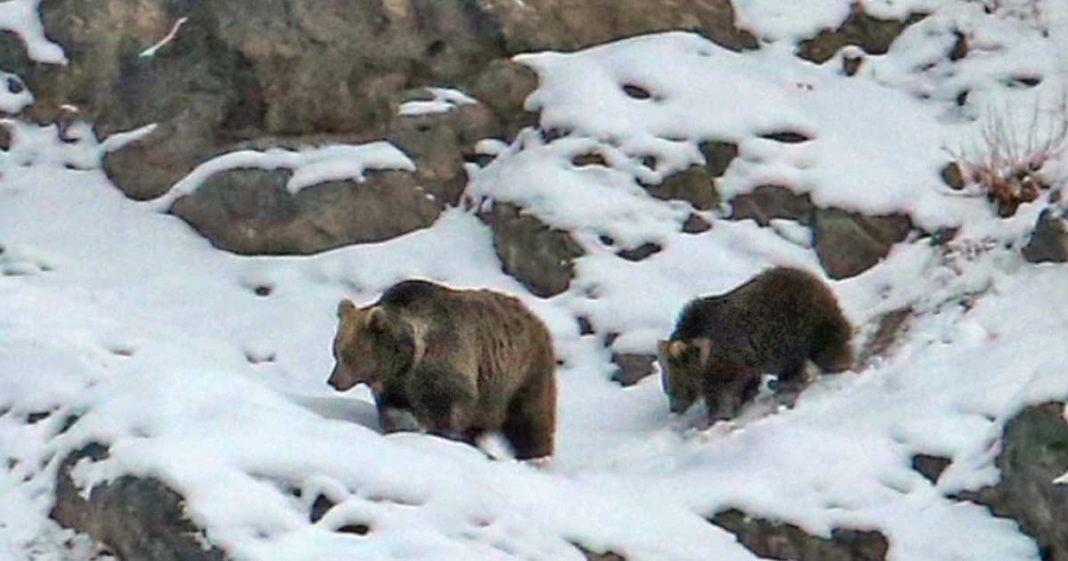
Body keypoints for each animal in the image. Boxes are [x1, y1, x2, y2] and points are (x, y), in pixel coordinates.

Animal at [328, 279, 557, 460]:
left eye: (348, 354)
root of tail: (535, 317)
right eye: (336, 350)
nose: (333, 381)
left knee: (529, 421)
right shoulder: (395, 386)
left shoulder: (443, 367)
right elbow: (394, 412)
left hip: (521, 373)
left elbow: (445, 411)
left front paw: (439, 436)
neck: (404, 361)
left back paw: (535, 456)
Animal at [658, 266, 853, 422]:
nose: (675, 408)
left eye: (679, 383)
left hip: (805, 325)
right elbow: (746, 384)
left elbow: (724, 393)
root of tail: (811, 275)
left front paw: (719, 416)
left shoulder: (729, 361)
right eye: (666, 383)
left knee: (827, 348)